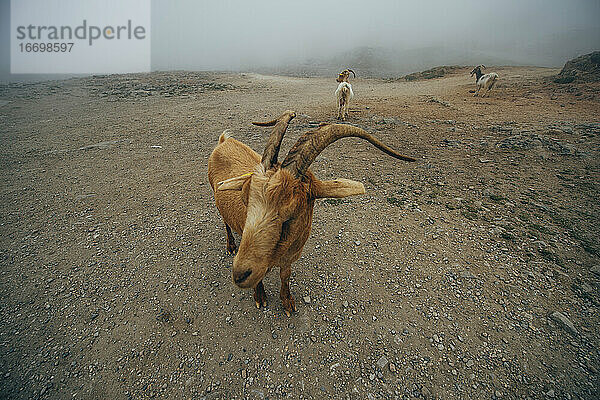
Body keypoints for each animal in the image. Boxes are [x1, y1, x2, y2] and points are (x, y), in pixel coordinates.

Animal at [209, 110, 414, 316]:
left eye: (292, 213)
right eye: (245, 199)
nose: (240, 274)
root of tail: (223, 142)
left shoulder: (290, 257)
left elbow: (285, 275)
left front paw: (288, 302)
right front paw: (260, 297)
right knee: (225, 222)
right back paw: (231, 246)